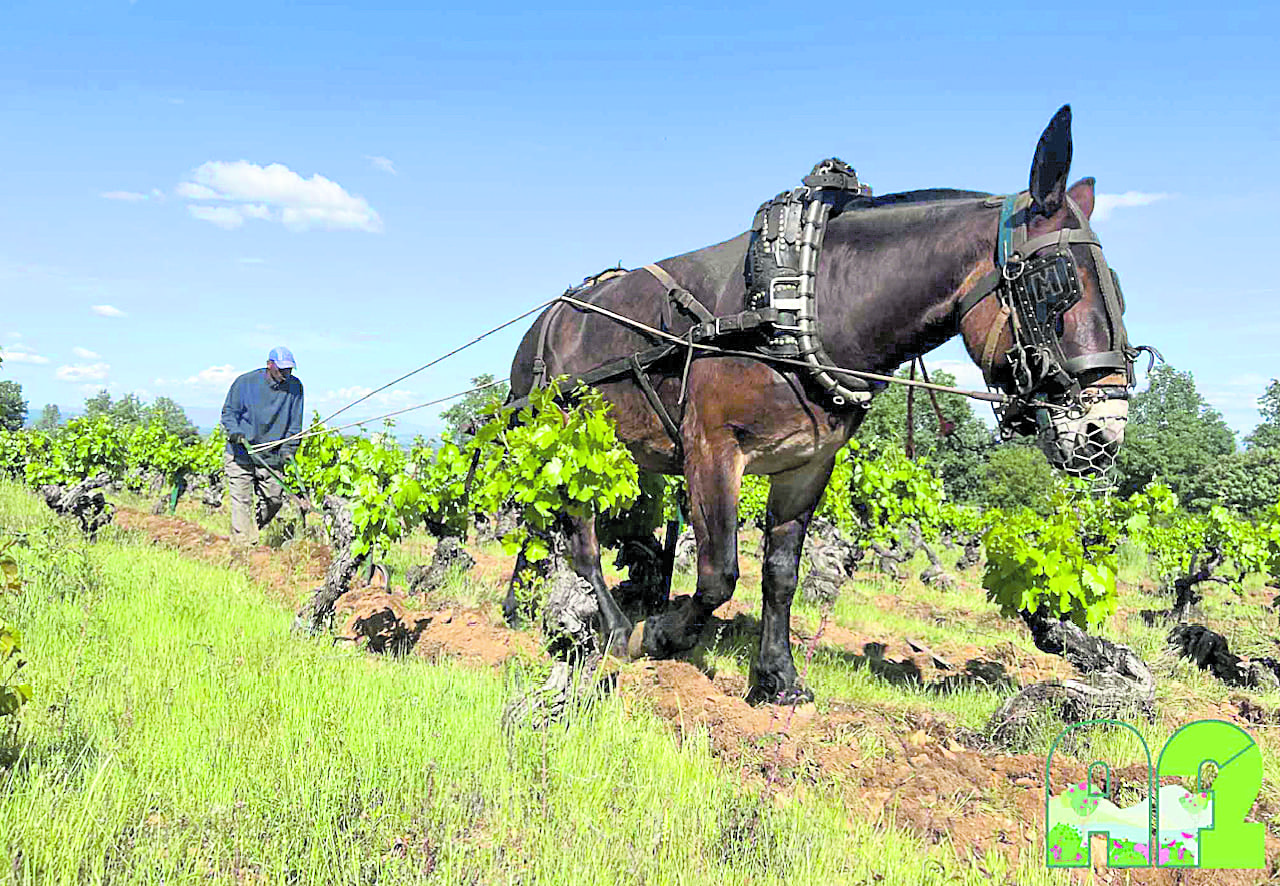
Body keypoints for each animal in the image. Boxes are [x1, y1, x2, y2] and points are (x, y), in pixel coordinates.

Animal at [504, 108, 1136, 706]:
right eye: (1058, 282)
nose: (1104, 431)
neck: (802, 297)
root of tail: (543, 324)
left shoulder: (808, 464)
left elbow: (781, 573)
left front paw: (777, 679)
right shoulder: (711, 450)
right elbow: (718, 573)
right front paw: (661, 634)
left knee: (542, 522)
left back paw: (519, 606)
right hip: (565, 442)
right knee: (579, 539)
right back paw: (611, 627)